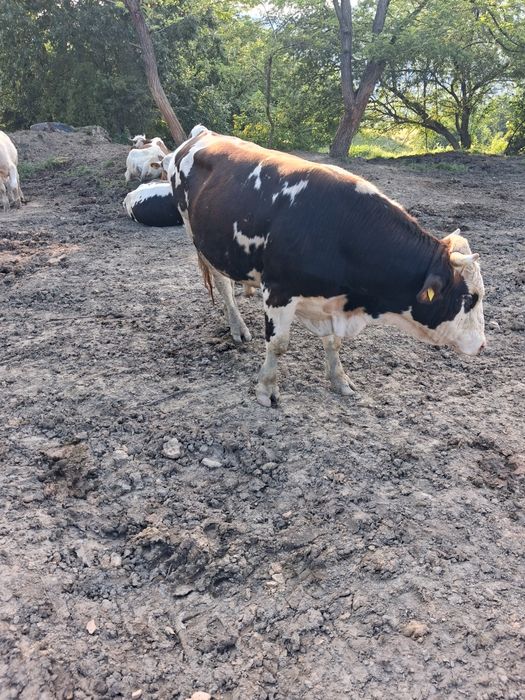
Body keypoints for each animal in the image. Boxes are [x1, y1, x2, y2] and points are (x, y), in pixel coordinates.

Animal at [171, 127, 486, 406]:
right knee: (223, 286)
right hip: (196, 236)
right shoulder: (278, 290)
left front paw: (339, 380)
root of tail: (204, 134)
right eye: (470, 297)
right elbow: (278, 344)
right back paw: (237, 327)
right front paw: (266, 390)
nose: (483, 345)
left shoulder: (334, 303)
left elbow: (334, 343)